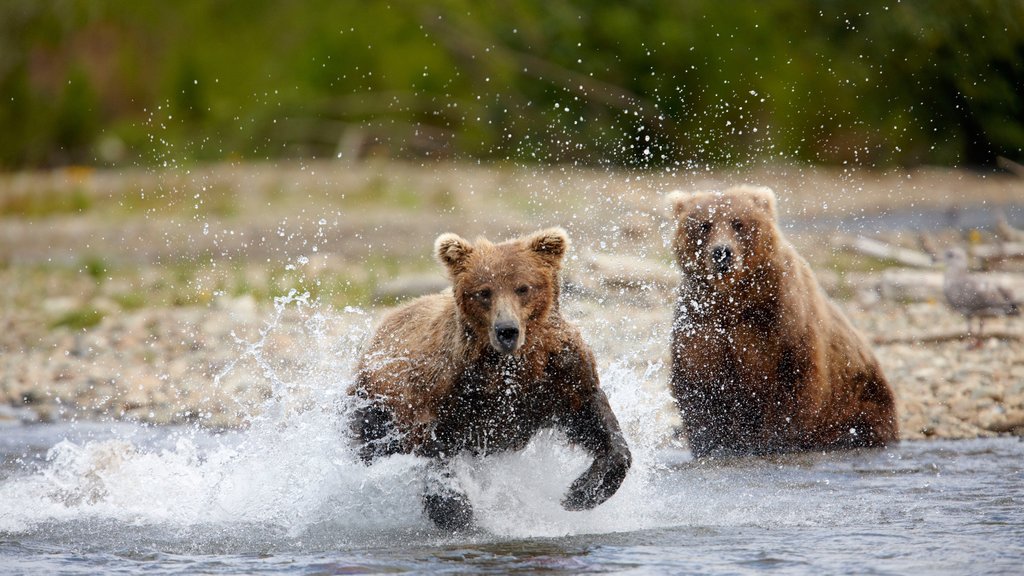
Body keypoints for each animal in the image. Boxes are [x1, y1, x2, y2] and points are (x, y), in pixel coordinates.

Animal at [348, 225, 626, 528]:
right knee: (368, 444)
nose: (507, 330)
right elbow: (434, 447)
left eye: (523, 287)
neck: (510, 365)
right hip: (373, 402)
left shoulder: (559, 372)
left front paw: (582, 491)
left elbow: (594, 418)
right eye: (484, 292)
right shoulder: (447, 389)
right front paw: (454, 510)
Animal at [663, 186, 897, 455]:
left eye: (738, 223)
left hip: (860, 401)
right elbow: (699, 381)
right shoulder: (702, 324)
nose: (722, 252)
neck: (735, 300)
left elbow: (791, 383)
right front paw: (713, 442)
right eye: (705, 225)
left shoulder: (782, 321)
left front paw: (775, 441)